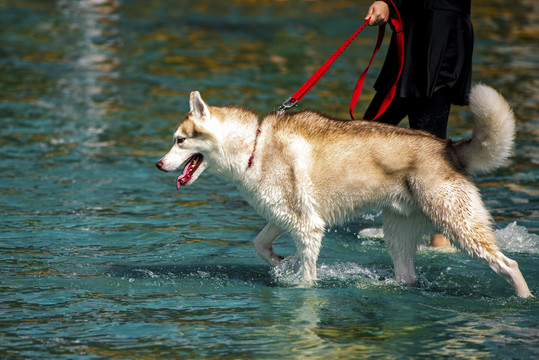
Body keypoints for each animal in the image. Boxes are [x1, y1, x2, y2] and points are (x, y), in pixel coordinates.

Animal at [156, 85, 532, 298]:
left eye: (179, 140)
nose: (159, 164)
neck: (254, 146)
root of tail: (448, 146)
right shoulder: (284, 216)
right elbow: (260, 244)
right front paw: (281, 262)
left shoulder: (308, 226)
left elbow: (307, 278)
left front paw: (298, 280)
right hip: (398, 232)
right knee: (407, 275)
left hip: (459, 225)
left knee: (509, 264)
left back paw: (524, 298)